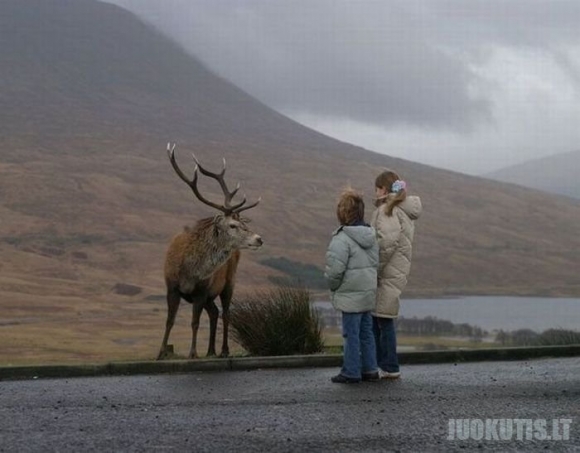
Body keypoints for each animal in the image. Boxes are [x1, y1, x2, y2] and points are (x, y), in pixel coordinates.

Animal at [156, 144, 260, 360]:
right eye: (232, 225)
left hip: (229, 282)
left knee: (226, 313)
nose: (259, 238)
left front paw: (193, 353)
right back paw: (211, 350)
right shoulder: (171, 286)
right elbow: (169, 321)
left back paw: (224, 350)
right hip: (211, 295)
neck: (189, 271)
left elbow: (194, 322)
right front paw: (161, 352)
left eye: (242, 224)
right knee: (214, 312)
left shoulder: (202, 290)